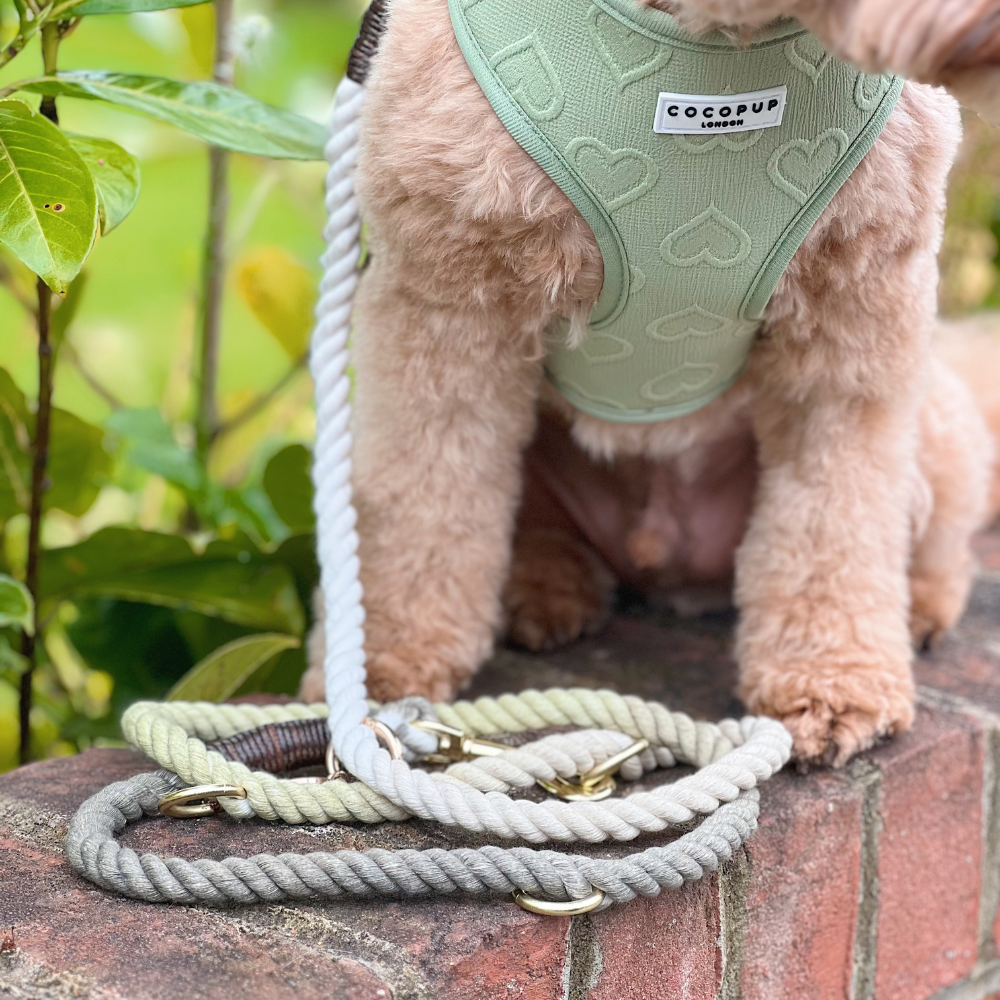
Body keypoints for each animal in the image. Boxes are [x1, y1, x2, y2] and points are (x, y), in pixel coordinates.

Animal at [300, 0, 1000, 760]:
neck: (718, 45)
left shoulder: (855, 326)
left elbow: (838, 514)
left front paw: (834, 679)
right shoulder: (445, 307)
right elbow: (417, 501)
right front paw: (377, 670)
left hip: (931, 417)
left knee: (943, 536)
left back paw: (920, 609)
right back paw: (543, 588)